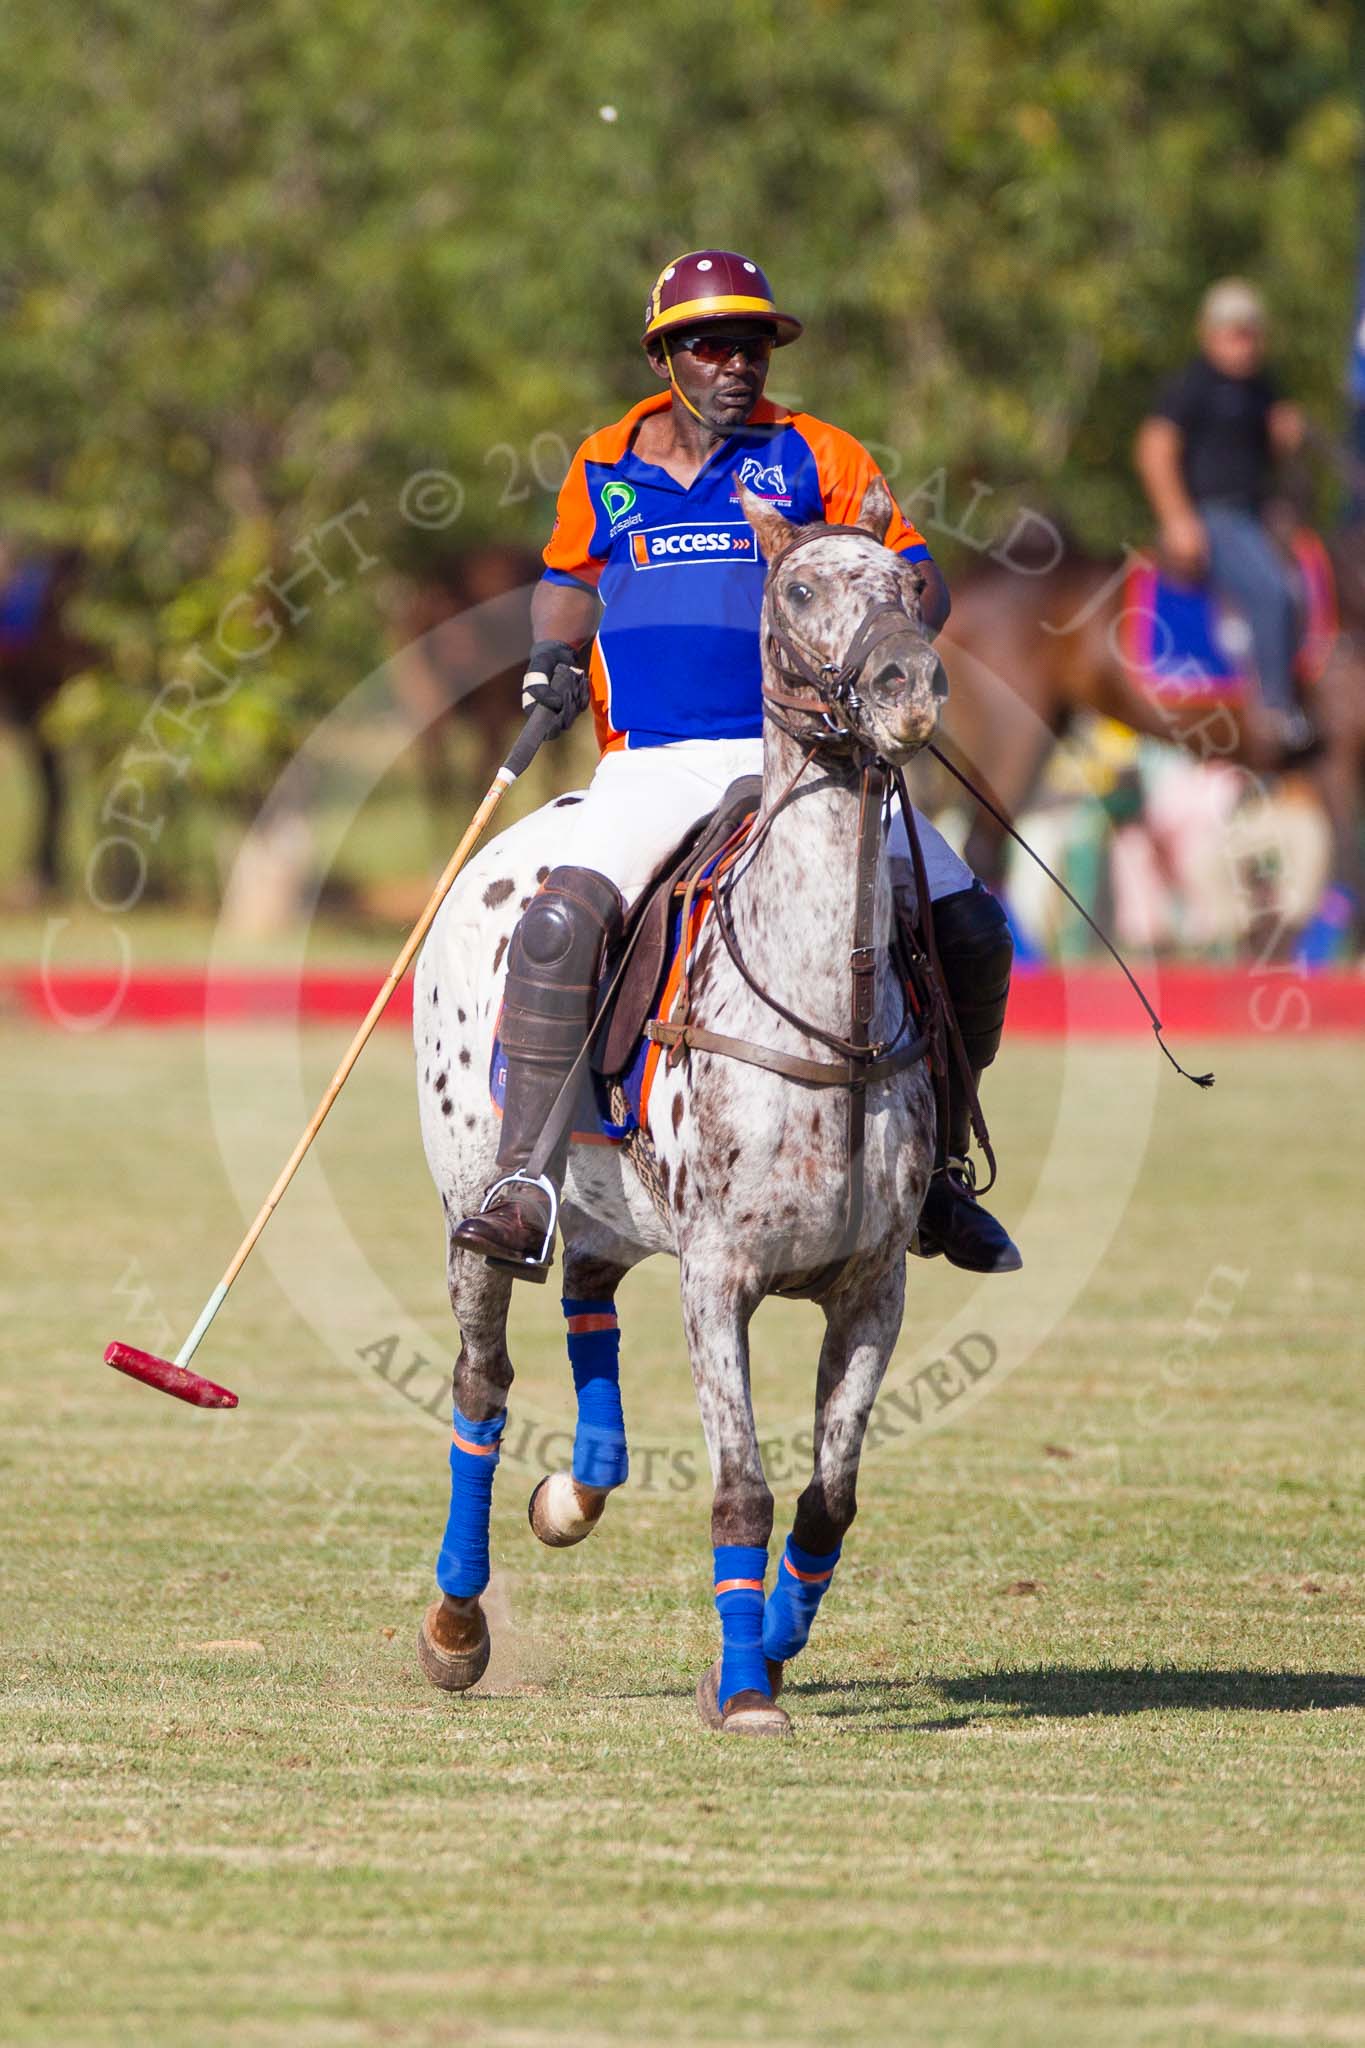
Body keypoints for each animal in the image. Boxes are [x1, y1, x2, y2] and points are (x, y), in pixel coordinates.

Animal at [411, 475, 945, 1728]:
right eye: (797, 590)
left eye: (910, 585)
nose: (910, 684)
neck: (827, 1022)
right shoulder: (720, 1278)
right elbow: (742, 1488)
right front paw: (748, 1688)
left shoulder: (875, 1288)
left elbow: (830, 1497)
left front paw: (765, 1651)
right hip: (470, 1200)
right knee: (481, 1378)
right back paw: (456, 1623)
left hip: (609, 1195)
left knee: (588, 1295)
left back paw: (575, 1492)